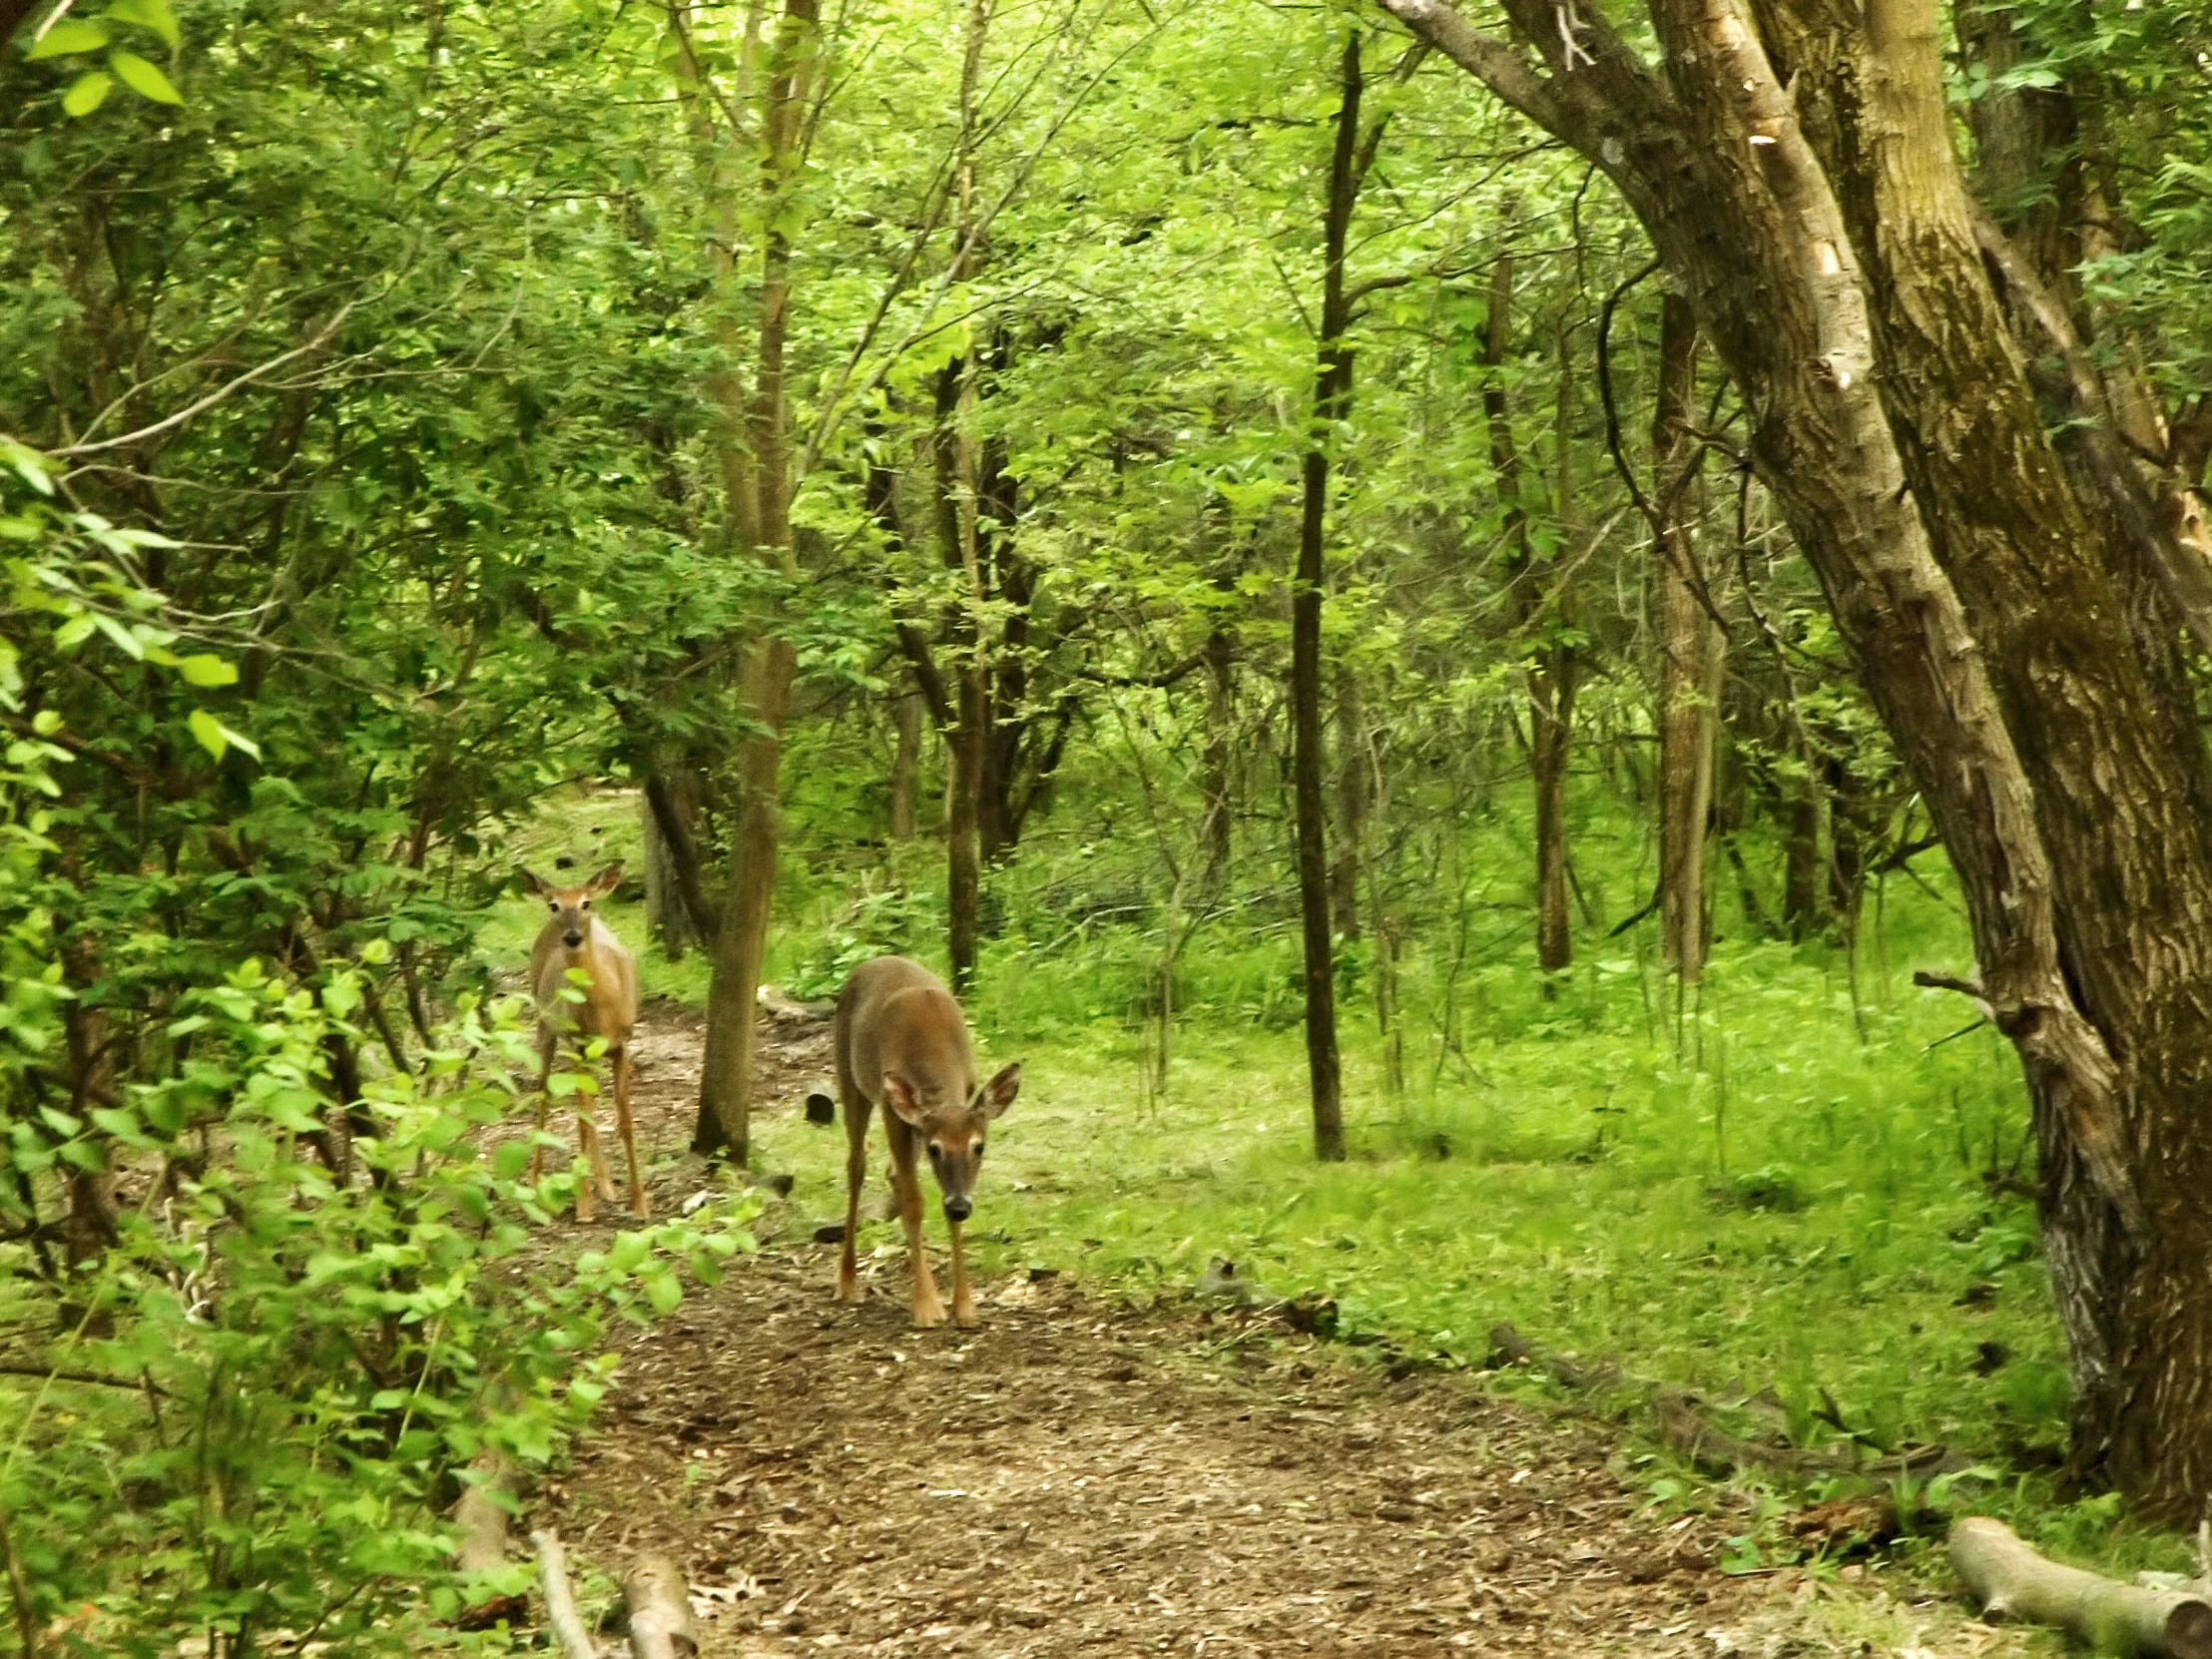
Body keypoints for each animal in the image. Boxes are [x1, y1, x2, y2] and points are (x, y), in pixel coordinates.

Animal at [519, 862, 646, 1230]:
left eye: (586, 902)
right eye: (554, 905)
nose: (573, 936)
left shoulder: (622, 1044)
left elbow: (624, 1122)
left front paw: (640, 1204)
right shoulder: (577, 1045)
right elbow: (582, 1120)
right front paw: (584, 1207)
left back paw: (606, 1185)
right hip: (546, 1024)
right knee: (545, 1095)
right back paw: (538, 1180)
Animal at [831, 955, 1021, 1336]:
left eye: (979, 1147)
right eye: (936, 1149)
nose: (960, 1206)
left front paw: (964, 1308)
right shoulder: (893, 1110)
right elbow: (915, 1201)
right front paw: (926, 1307)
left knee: (891, 1172)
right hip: (851, 1077)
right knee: (856, 1165)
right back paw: (847, 1282)